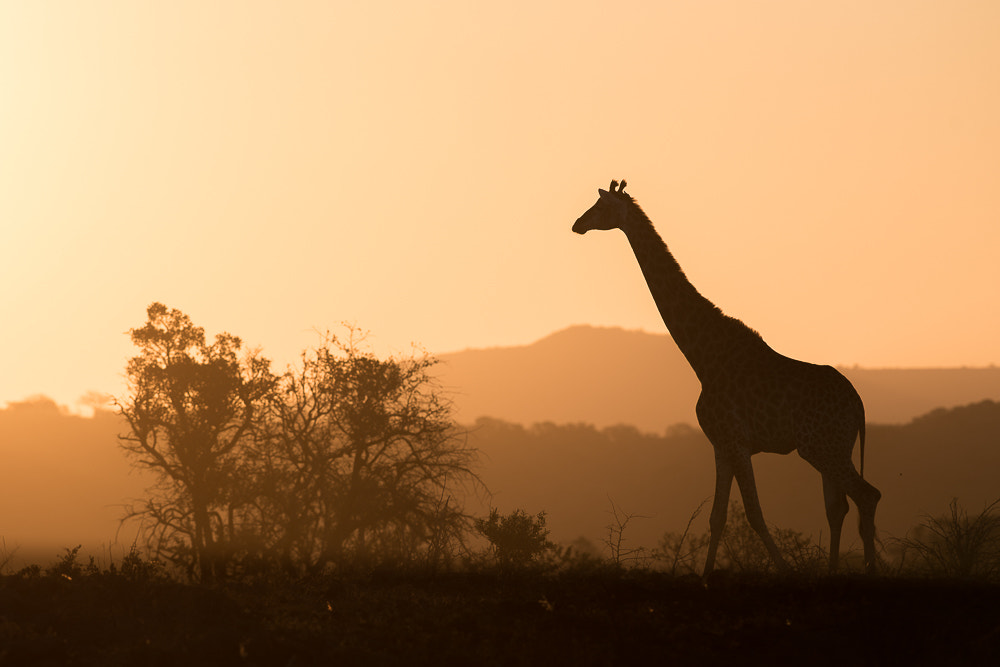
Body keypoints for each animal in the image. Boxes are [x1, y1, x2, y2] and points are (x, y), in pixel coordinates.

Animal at [572, 179, 881, 575]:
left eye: (601, 206)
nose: (577, 224)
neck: (703, 357)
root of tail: (858, 403)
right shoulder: (720, 444)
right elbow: (717, 516)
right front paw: (706, 578)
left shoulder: (736, 440)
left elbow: (753, 514)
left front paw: (785, 571)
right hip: (834, 446)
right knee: (839, 506)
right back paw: (834, 573)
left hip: (820, 446)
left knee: (867, 495)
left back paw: (869, 570)